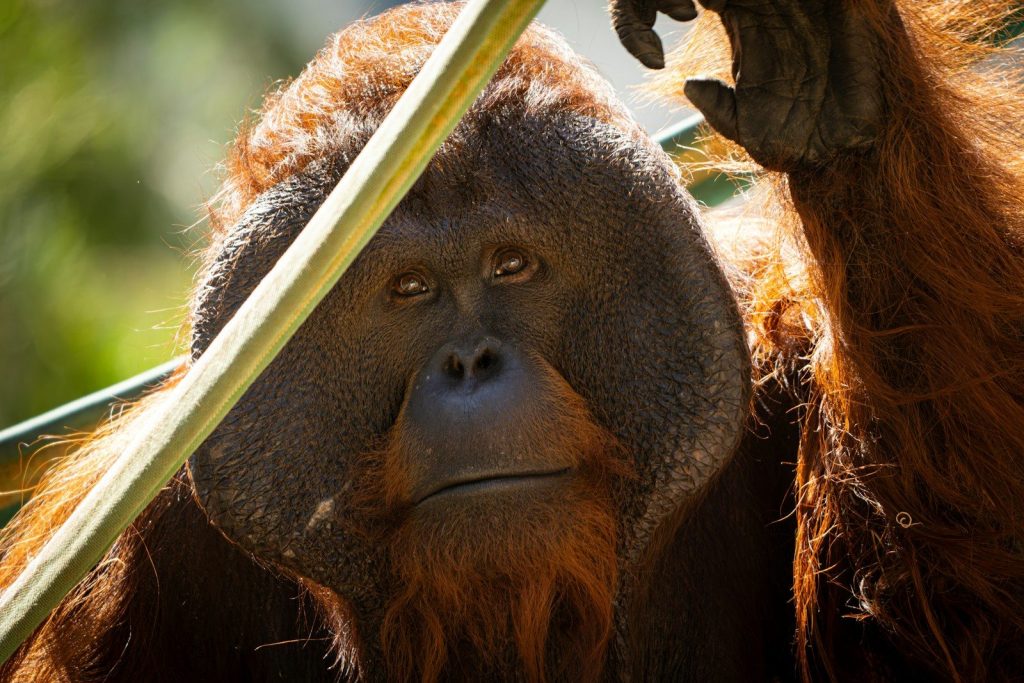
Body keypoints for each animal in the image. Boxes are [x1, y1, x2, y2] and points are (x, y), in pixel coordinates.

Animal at [1, 0, 1023, 680]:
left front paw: (825, 72)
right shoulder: (120, 563)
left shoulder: (789, 360)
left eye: (511, 267)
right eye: (410, 290)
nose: (470, 363)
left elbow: (950, 619)